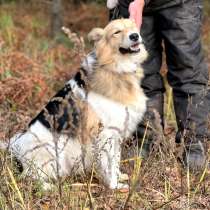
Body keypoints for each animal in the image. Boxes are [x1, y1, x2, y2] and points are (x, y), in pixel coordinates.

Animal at [0, 18, 148, 190]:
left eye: (133, 28)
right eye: (117, 32)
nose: (135, 36)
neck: (114, 67)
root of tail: (15, 148)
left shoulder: (117, 133)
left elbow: (116, 161)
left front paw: (118, 177)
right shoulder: (106, 134)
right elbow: (109, 164)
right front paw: (114, 185)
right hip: (51, 150)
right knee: (30, 176)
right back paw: (49, 187)